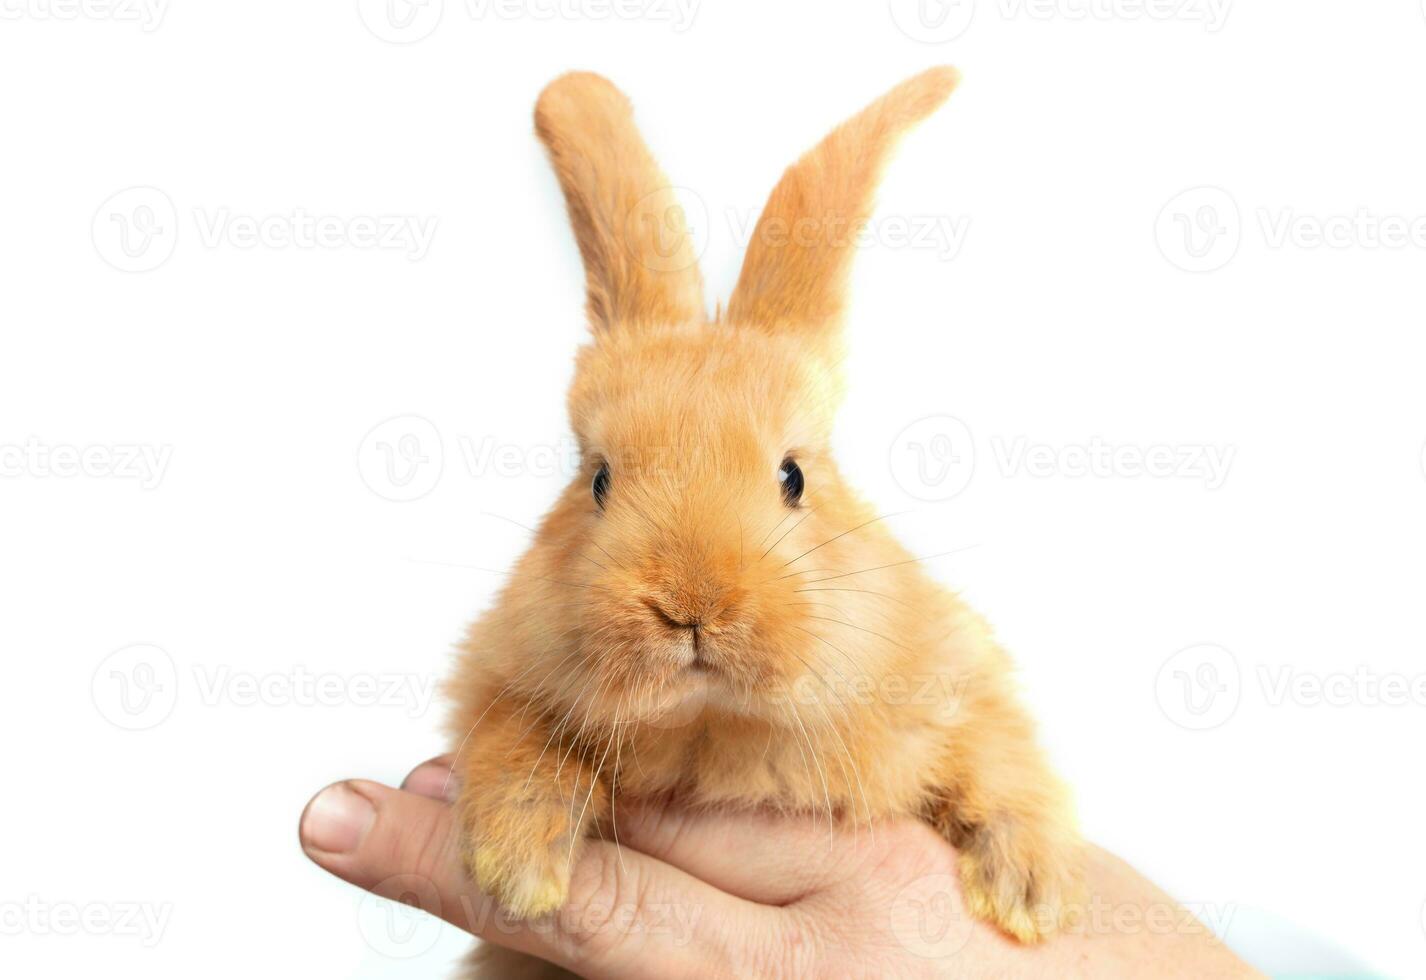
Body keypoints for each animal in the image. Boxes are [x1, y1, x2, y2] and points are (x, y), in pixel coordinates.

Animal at [444, 65, 1078, 975]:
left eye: (794, 476)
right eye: (597, 480)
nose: (691, 606)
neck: (714, 725)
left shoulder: (963, 676)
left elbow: (1004, 757)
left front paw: (1032, 893)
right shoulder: (499, 680)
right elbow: (511, 744)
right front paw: (519, 867)